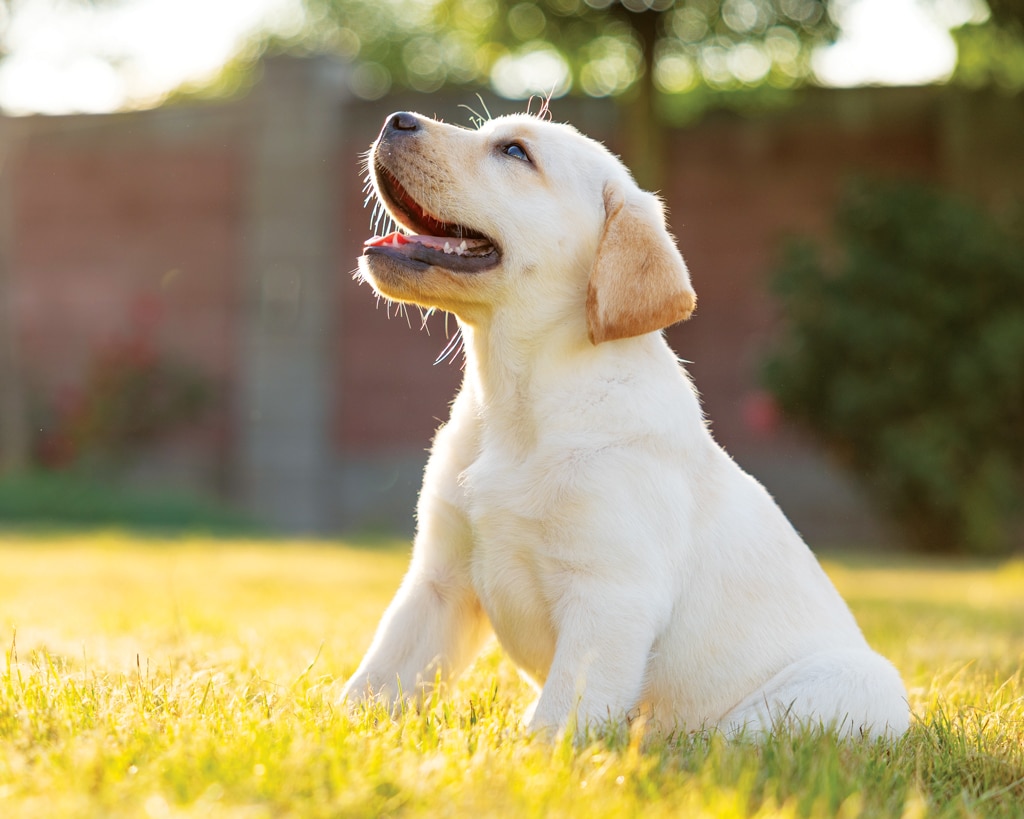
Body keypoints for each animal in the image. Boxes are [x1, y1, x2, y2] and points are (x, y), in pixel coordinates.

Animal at [348, 110, 909, 741]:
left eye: (514, 152)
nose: (396, 119)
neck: (518, 403)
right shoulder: (438, 580)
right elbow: (380, 674)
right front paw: (338, 732)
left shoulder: (610, 597)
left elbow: (560, 715)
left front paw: (535, 758)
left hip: (843, 686)